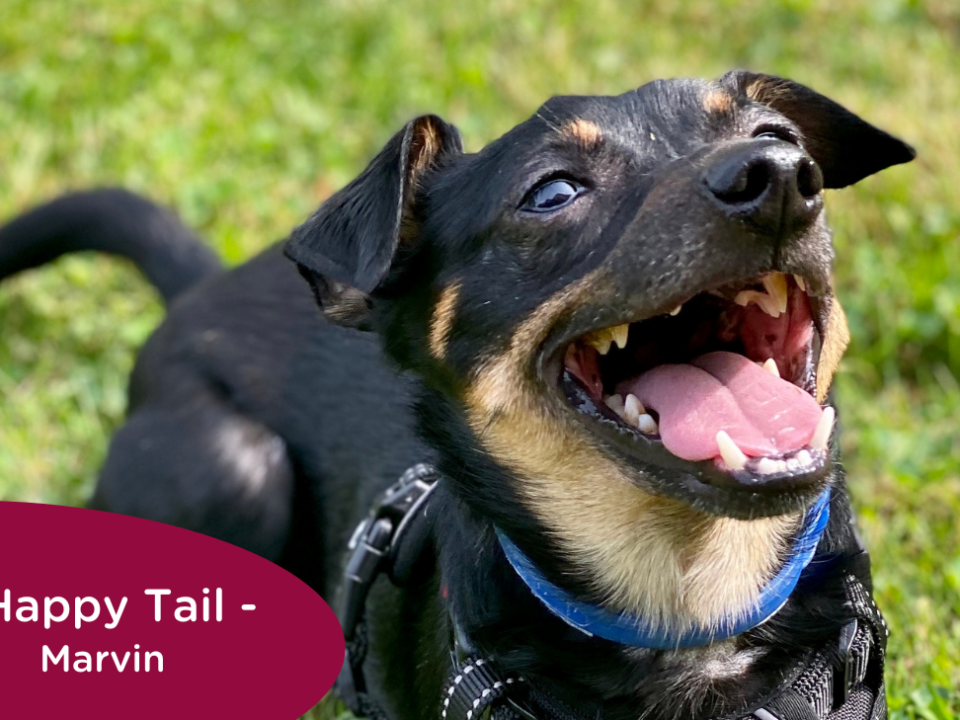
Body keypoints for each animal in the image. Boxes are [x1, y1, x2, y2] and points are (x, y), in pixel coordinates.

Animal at [0, 69, 916, 720]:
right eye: (553, 193)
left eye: (776, 135)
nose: (781, 175)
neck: (693, 611)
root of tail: (198, 292)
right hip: (236, 467)